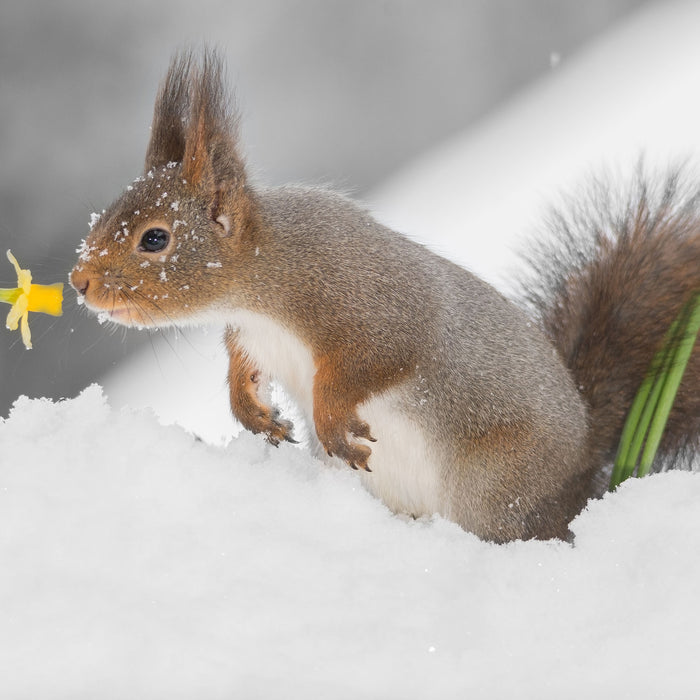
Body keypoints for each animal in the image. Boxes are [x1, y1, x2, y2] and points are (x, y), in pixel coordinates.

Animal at [68, 50, 696, 540]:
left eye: (155, 238)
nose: (79, 282)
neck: (263, 281)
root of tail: (586, 468)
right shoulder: (252, 337)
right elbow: (243, 372)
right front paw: (254, 415)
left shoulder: (373, 305)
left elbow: (374, 361)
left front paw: (329, 419)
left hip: (496, 486)